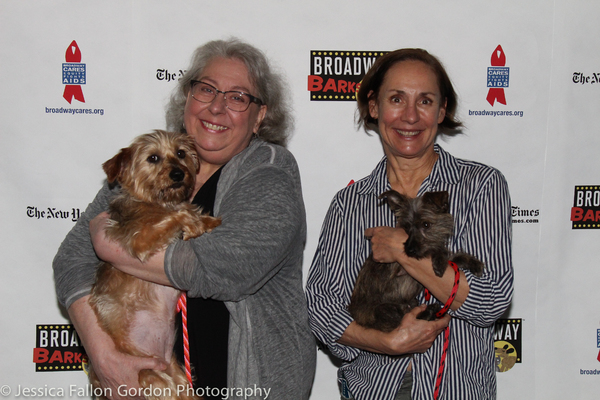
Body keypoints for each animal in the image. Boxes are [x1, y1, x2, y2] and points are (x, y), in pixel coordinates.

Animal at [88, 130, 221, 398]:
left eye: (181, 153)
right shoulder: (140, 241)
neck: (159, 201)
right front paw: (194, 225)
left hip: (179, 378)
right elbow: (178, 217)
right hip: (152, 378)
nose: (178, 174)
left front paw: (209, 222)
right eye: (153, 158)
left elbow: (191, 213)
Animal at [346, 190, 482, 332]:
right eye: (406, 227)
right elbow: (435, 249)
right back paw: (428, 312)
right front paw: (439, 257)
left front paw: (474, 263)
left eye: (426, 224)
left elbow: (453, 258)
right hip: (383, 309)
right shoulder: (399, 269)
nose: (409, 250)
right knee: (400, 321)